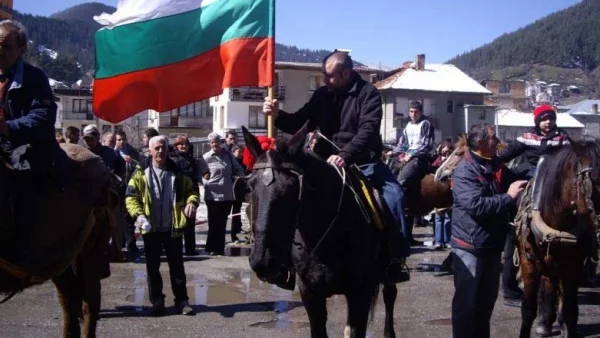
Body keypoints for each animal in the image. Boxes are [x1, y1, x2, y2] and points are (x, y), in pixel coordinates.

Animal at [241, 127, 400, 338]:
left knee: (390, 296)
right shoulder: (310, 293)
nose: (262, 261)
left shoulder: (361, 291)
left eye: (292, 188)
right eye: (250, 186)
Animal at [516, 140, 600, 338]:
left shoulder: (572, 267)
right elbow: (528, 310)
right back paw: (544, 322)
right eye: (593, 180)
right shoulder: (528, 264)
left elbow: (571, 310)